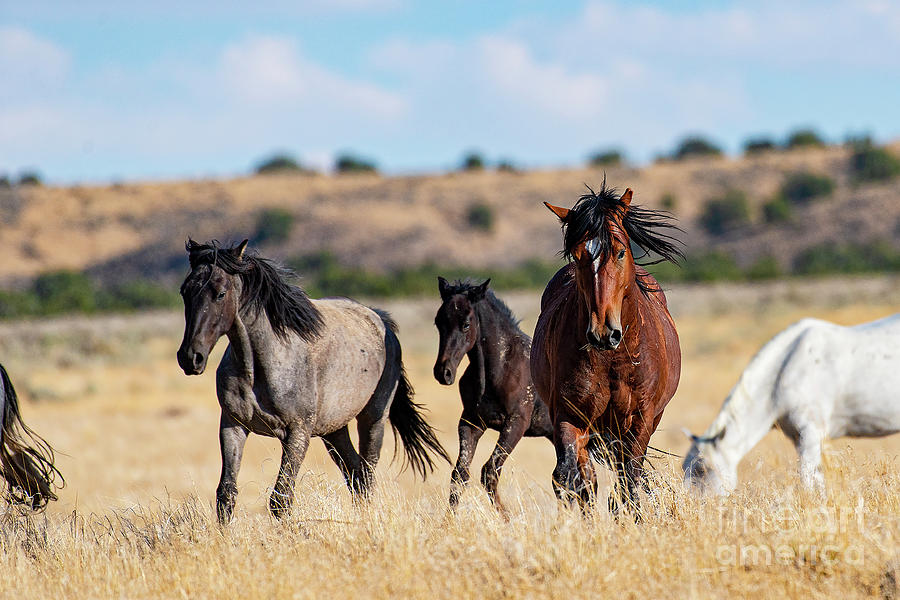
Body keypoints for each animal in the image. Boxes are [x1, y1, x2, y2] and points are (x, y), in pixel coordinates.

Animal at [174, 241, 448, 524]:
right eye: (185, 292)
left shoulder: (298, 433)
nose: (190, 357)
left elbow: (281, 499)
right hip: (334, 430)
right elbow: (226, 495)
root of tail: (382, 320)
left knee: (367, 474)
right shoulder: (233, 425)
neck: (258, 367)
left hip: (373, 419)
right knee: (356, 475)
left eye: (220, 294)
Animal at [432, 278, 552, 512]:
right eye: (438, 322)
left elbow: (490, 471)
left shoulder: (516, 423)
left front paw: (508, 516)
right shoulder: (472, 423)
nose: (443, 372)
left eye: (466, 324)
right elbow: (460, 474)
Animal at [528, 183, 684, 516]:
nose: (603, 333)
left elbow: (629, 483)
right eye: (577, 256)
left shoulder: (640, 420)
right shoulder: (570, 416)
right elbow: (570, 479)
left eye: (621, 250)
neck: (614, 360)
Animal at [684, 314, 900, 496]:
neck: (783, 372)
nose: (687, 504)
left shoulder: (811, 432)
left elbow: (806, 476)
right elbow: (816, 477)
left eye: (702, 469)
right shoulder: (800, 438)